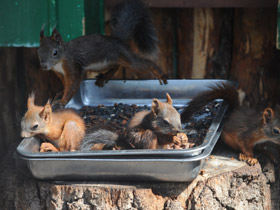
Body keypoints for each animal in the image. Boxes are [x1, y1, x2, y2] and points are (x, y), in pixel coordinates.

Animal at [38, 0, 167, 106]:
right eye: (39, 51)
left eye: (55, 52)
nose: (44, 66)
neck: (59, 62)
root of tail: (117, 40)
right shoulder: (60, 73)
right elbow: (65, 84)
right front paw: (61, 93)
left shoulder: (72, 66)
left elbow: (72, 85)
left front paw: (62, 101)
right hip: (103, 64)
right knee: (115, 66)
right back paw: (104, 77)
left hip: (123, 56)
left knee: (143, 64)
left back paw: (159, 73)